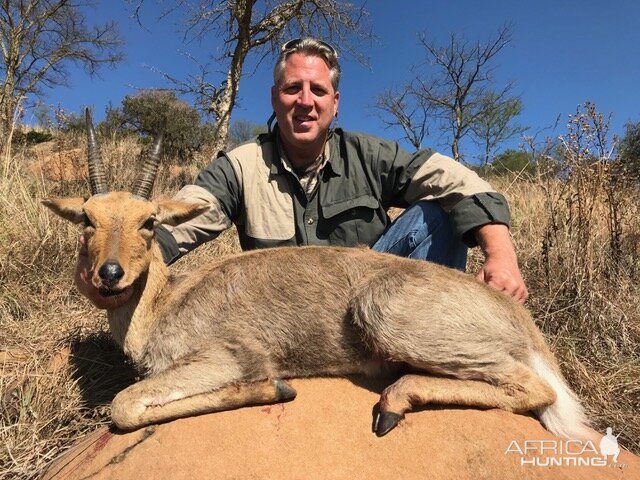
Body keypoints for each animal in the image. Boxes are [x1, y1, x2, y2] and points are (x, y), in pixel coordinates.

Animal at [40, 109, 592, 438]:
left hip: (390, 317)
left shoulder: (223, 358)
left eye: (149, 222)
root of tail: (520, 317)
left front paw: (276, 388)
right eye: (87, 219)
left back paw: (392, 403)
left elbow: (123, 406)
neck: (162, 304)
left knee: (535, 391)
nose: (109, 274)